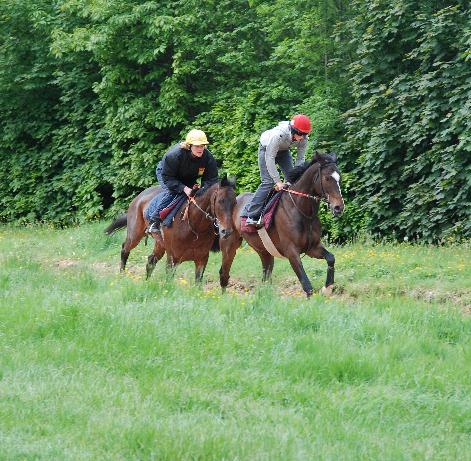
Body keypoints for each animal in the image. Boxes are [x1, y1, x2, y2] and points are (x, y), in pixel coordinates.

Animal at [108, 176, 240, 284]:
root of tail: (139, 197)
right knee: (125, 249)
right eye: (221, 201)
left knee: (151, 260)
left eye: (234, 202)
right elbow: (169, 281)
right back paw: (121, 275)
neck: (194, 227)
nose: (227, 231)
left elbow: (198, 283)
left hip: (160, 243)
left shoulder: (201, 259)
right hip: (135, 234)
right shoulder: (172, 259)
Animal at [219, 153, 344, 296]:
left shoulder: (312, 247)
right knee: (224, 272)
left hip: (264, 250)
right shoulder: (291, 251)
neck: (301, 211)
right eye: (327, 178)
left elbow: (331, 258)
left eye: (339, 177)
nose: (339, 207)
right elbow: (307, 285)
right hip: (229, 244)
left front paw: (328, 286)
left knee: (266, 276)